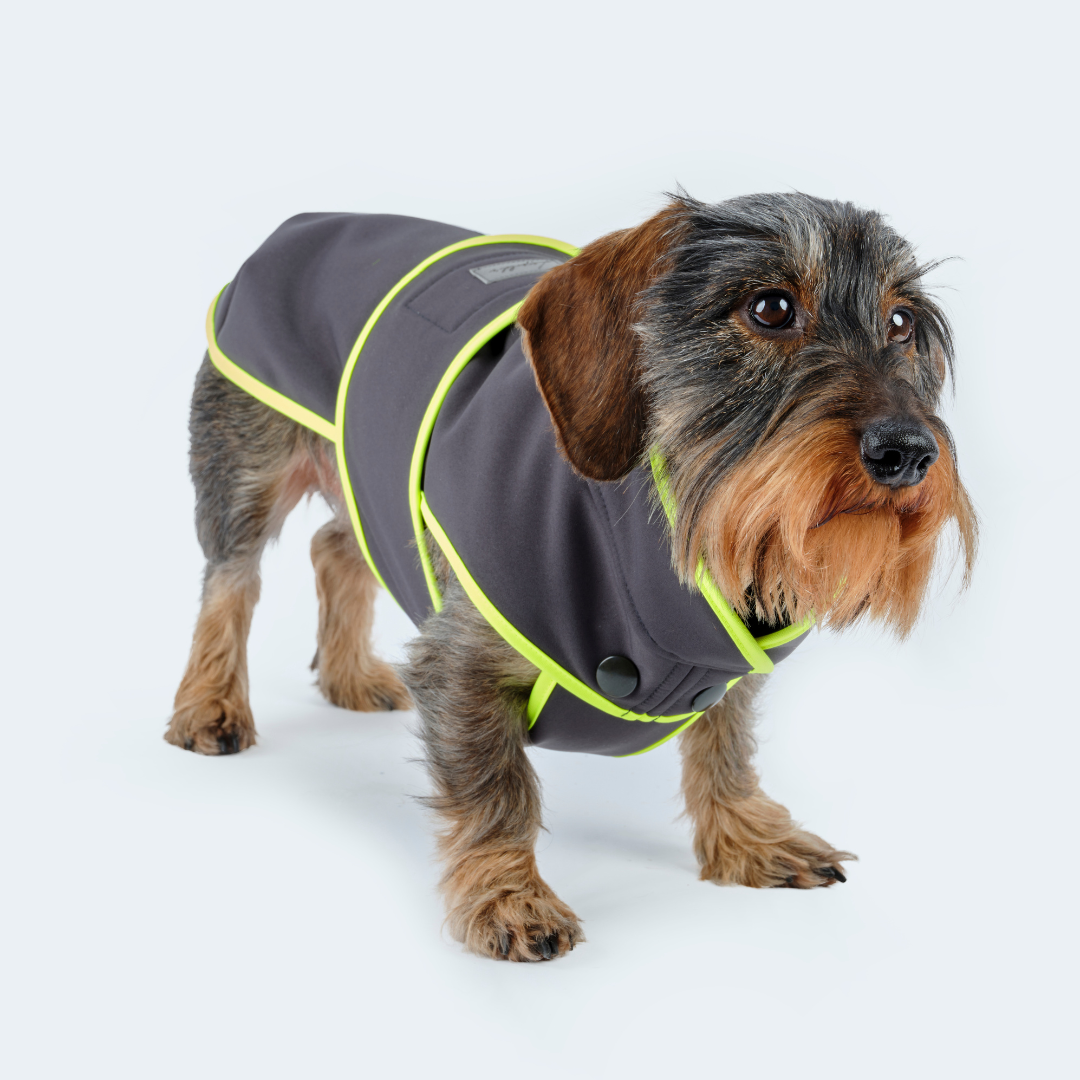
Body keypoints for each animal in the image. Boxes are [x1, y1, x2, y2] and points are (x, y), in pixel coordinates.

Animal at [168, 192, 977, 961]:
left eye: (901, 320)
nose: (908, 452)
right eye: (771, 307)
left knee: (336, 546)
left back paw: (348, 676)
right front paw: (508, 898)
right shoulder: (461, 667)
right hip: (245, 462)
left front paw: (748, 836)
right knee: (231, 582)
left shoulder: (727, 658)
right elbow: (499, 791)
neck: (663, 538)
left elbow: (724, 747)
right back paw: (211, 706)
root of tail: (305, 221)